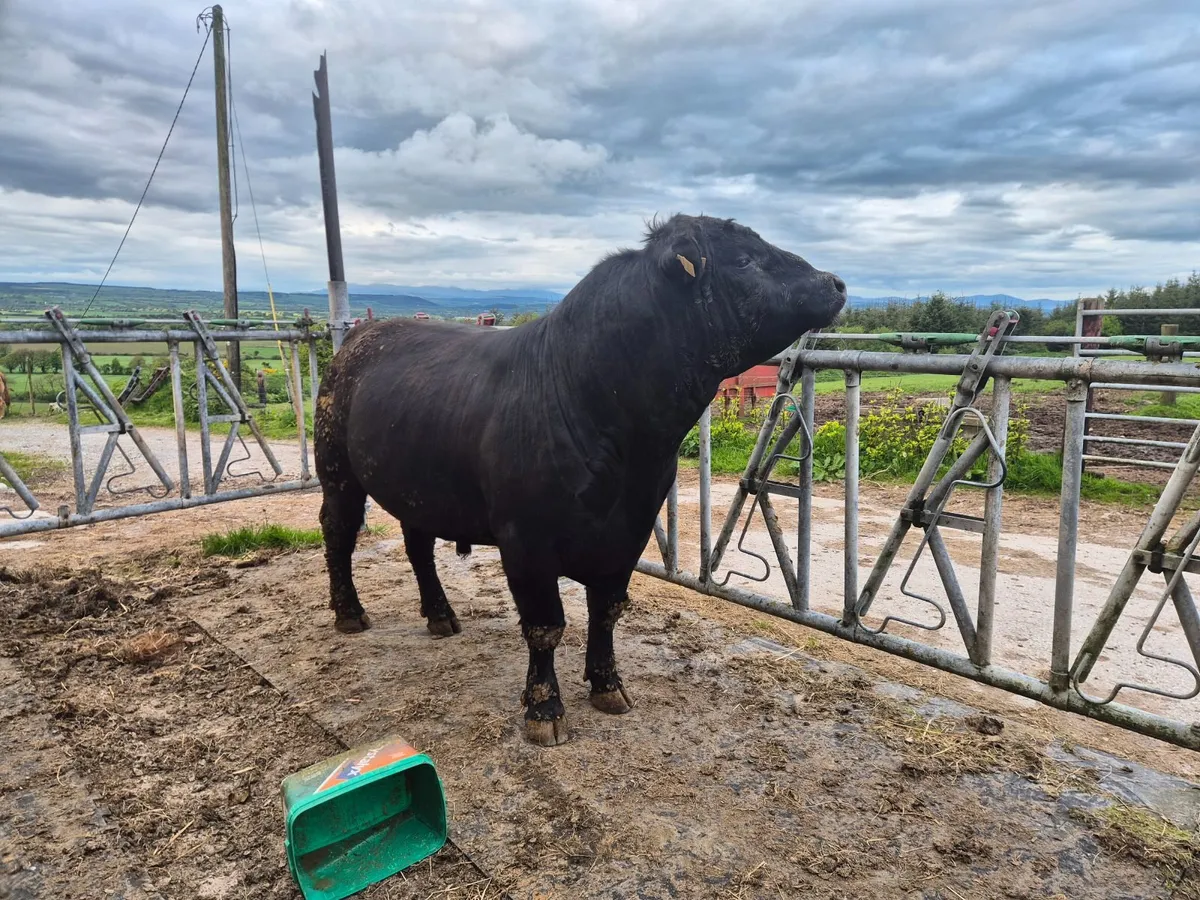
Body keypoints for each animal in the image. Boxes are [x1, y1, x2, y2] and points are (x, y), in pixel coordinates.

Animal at [314, 213, 848, 746]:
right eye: (744, 260)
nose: (836, 282)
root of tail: (361, 335)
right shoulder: (525, 542)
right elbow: (545, 625)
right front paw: (544, 709)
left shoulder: (630, 531)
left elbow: (607, 610)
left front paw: (608, 685)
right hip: (337, 472)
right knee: (338, 533)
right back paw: (349, 613)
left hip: (419, 488)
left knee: (418, 546)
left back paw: (441, 615)